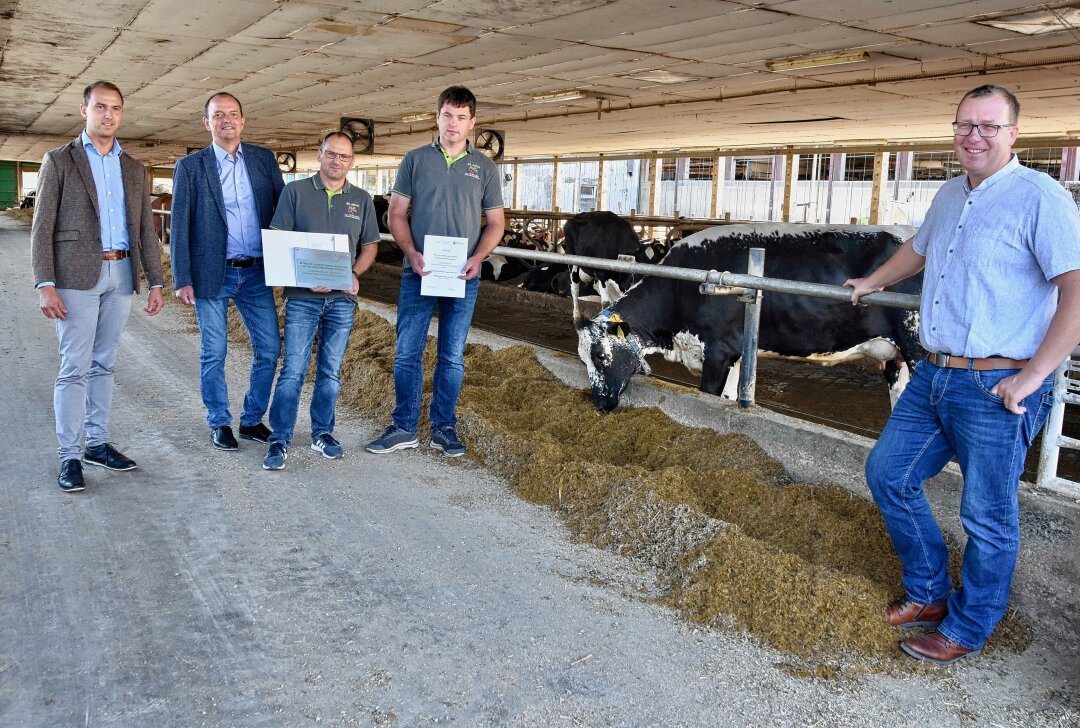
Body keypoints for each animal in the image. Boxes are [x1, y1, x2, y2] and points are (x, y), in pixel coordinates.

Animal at [578, 223, 924, 410]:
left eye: (599, 355)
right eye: (583, 359)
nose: (600, 403)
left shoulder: (717, 351)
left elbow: (709, 394)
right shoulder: (736, 354)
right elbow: (729, 396)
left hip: (918, 347)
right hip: (896, 358)